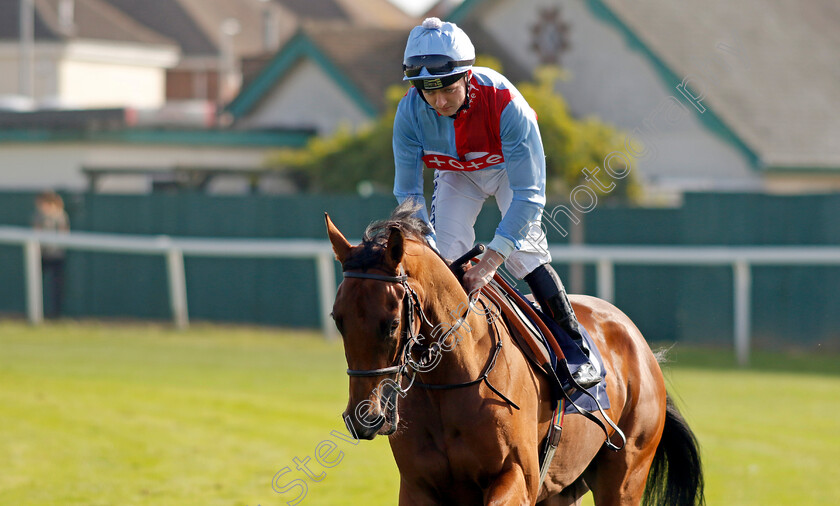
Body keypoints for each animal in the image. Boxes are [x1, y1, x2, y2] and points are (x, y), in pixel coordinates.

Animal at [324, 204, 704, 504]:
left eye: (391, 324)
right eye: (337, 319)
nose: (364, 417)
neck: (450, 381)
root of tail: (640, 345)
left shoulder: (517, 477)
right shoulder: (419, 486)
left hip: (625, 474)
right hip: (564, 489)